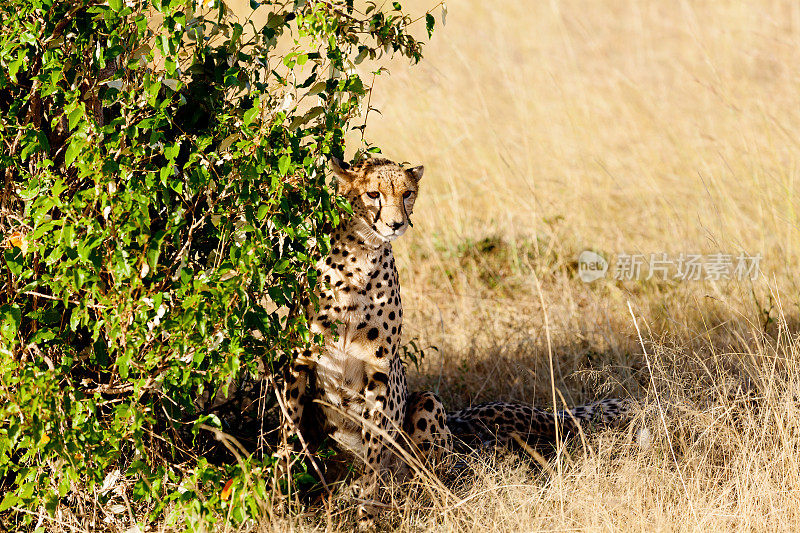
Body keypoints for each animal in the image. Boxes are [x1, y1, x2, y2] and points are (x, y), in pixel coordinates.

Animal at [278, 156, 628, 524]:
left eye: (407, 193)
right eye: (373, 194)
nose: (395, 224)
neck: (358, 258)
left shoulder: (380, 368)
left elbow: (374, 448)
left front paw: (367, 513)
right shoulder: (298, 361)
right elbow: (288, 436)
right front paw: (280, 501)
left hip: (427, 405)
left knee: (432, 477)